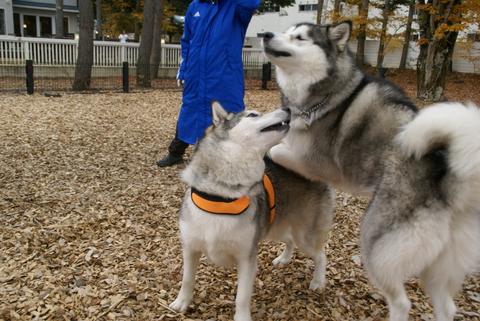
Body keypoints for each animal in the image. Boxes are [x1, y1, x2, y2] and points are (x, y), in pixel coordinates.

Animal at [171, 102, 336, 320]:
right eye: (252, 115)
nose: (287, 108)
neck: (222, 196)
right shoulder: (190, 248)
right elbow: (187, 279)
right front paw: (182, 302)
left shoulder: (247, 258)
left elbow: (242, 296)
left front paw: (242, 317)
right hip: (277, 226)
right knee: (290, 241)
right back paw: (284, 258)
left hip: (304, 236)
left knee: (321, 254)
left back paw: (318, 281)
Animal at [262, 21, 480, 320]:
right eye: (285, 31)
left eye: (300, 38)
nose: (265, 35)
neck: (327, 95)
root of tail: (451, 184)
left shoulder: (316, 163)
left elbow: (276, 149)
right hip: (436, 266)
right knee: (446, 306)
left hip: (376, 244)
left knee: (401, 302)